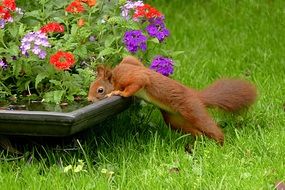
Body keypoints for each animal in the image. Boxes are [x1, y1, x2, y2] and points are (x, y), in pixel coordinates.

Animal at [87, 55, 256, 145]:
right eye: (90, 85)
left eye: (100, 90)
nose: (88, 100)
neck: (116, 76)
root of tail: (196, 95)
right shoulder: (130, 61)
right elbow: (133, 59)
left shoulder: (131, 76)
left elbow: (138, 82)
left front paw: (117, 92)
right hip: (175, 121)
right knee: (195, 131)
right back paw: (200, 142)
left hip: (191, 109)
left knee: (208, 126)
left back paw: (221, 144)